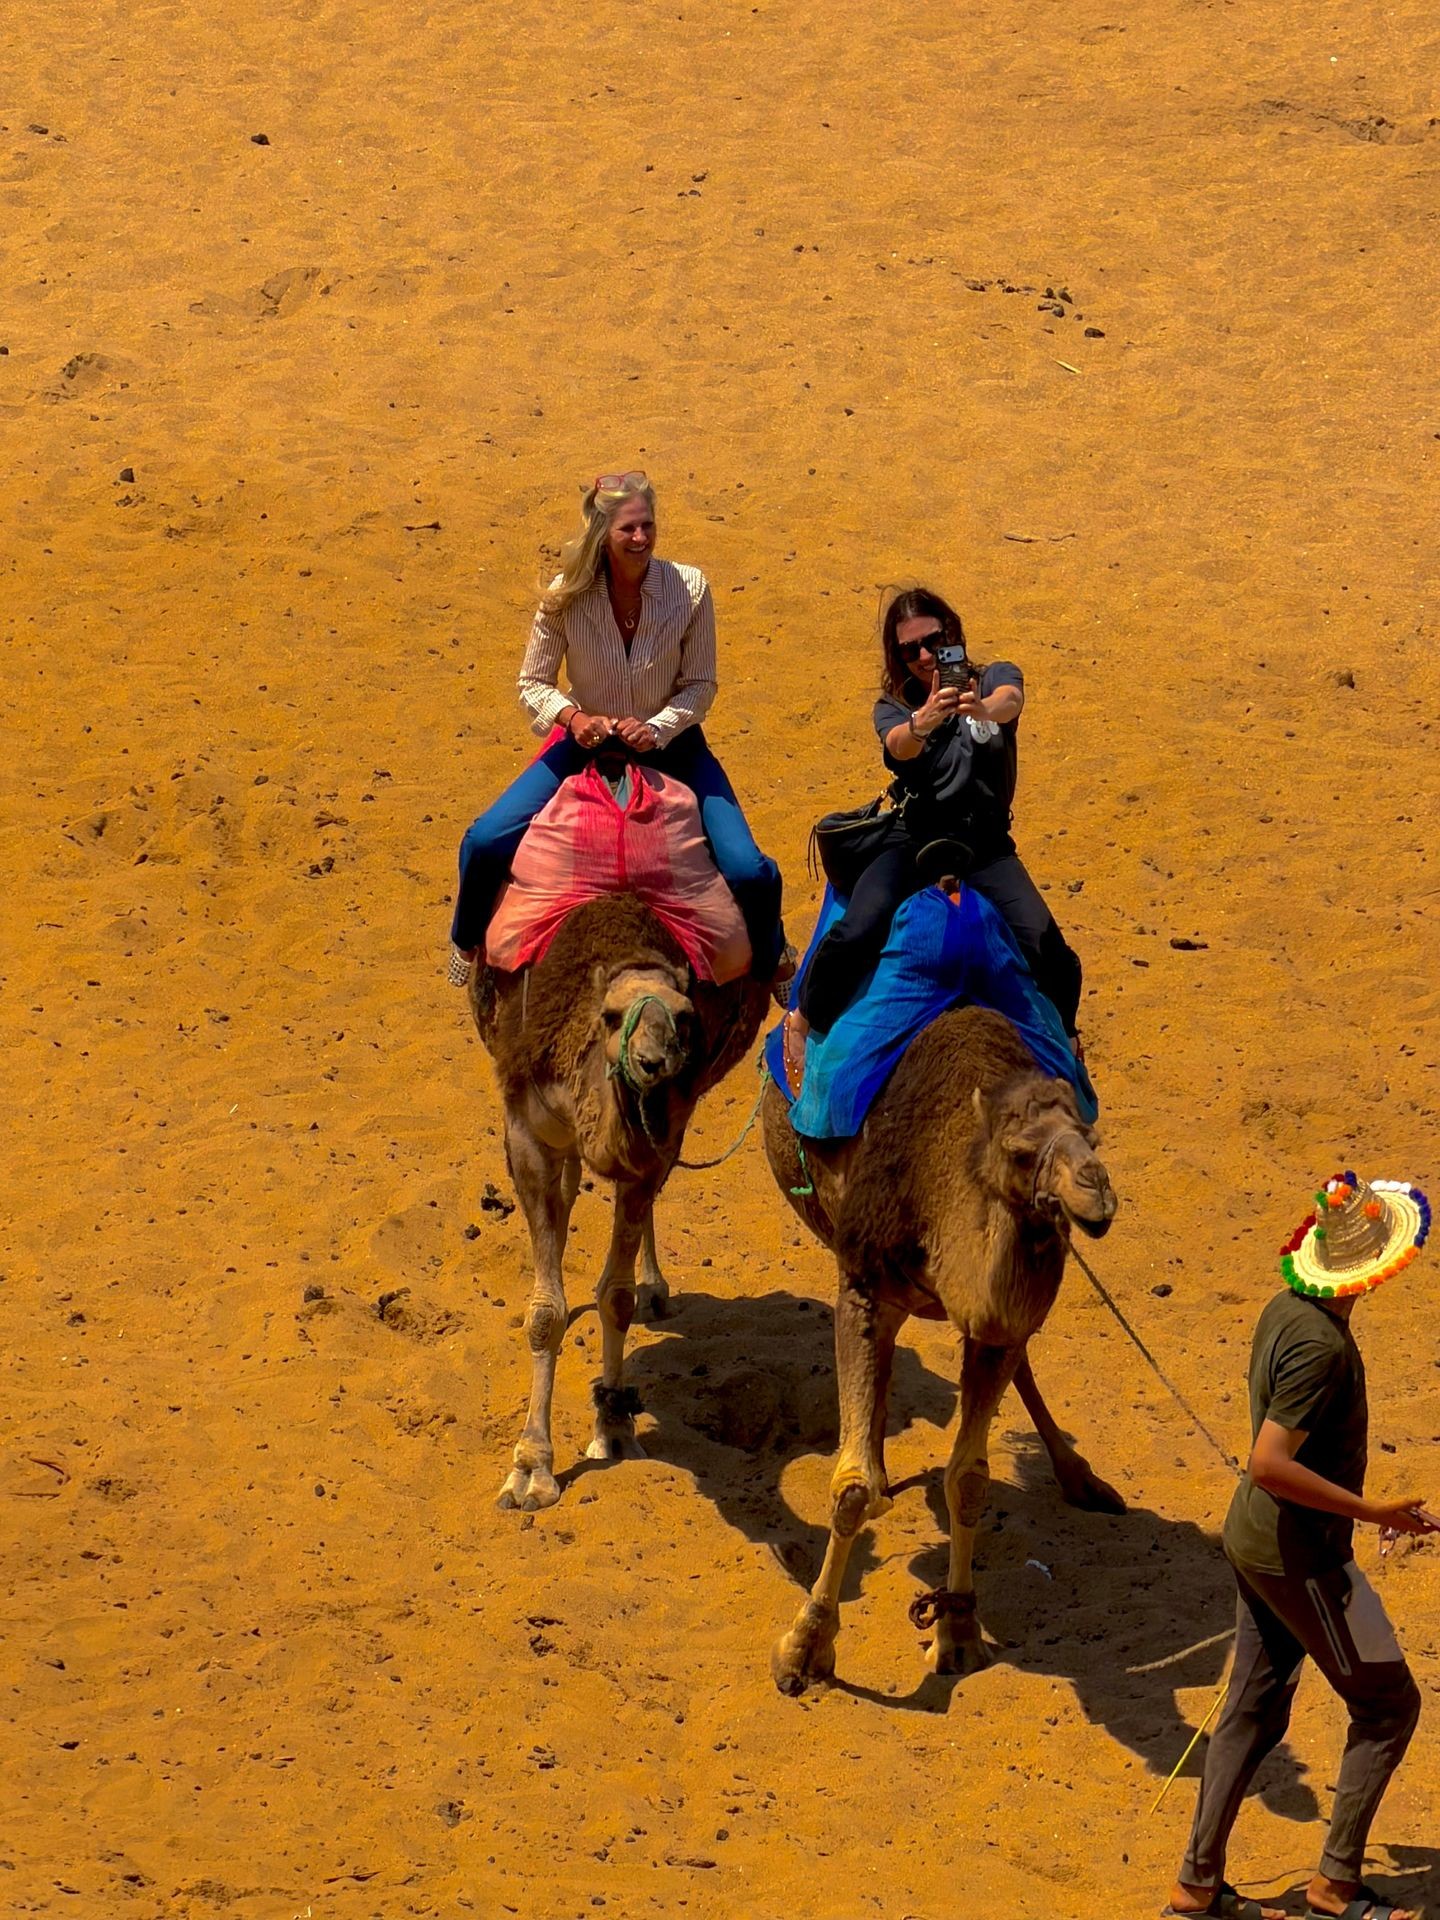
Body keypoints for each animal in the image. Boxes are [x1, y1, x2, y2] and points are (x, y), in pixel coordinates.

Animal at [470, 890, 768, 1511]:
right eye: (609, 1015)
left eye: (684, 1016)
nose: (654, 1061)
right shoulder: (527, 1132)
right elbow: (545, 1312)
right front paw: (531, 1470)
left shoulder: (655, 1146)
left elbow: (617, 1296)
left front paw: (613, 1426)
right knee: (565, 1193)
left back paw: (656, 1287)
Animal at [762, 1003, 1123, 1693]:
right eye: (1020, 1152)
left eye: (1091, 1139)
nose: (1096, 1191)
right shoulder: (864, 1286)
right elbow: (849, 1489)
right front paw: (802, 1649)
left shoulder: (995, 1326)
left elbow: (970, 1478)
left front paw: (956, 1633)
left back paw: (1081, 1478)